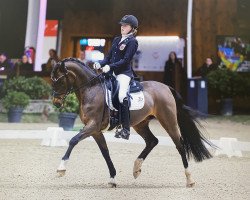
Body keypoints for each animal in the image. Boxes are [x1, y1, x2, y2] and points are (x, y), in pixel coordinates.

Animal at [50, 57, 213, 188]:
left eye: (59, 81)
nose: (56, 102)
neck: (91, 89)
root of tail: (166, 87)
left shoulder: (93, 125)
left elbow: (73, 140)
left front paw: (61, 168)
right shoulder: (96, 131)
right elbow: (105, 152)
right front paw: (112, 179)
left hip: (169, 121)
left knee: (180, 145)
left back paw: (189, 179)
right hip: (140, 124)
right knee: (152, 141)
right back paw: (136, 168)